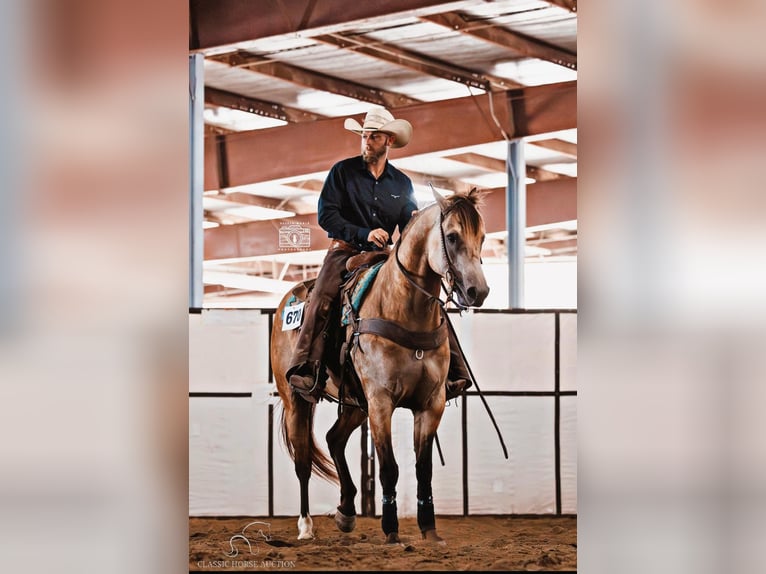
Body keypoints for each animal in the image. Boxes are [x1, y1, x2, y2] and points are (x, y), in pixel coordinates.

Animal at [272, 188, 488, 544]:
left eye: (482, 237)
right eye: (453, 237)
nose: (478, 291)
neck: (402, 309)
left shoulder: (431, 404)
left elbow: (423, 469)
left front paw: (429, 530)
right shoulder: (381, 402)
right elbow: (389, 468)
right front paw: (391, 531)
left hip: (356, 404)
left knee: (334, 439)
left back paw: (346, 511)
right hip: (297, 400)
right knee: (302, 460)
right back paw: (305, 526)